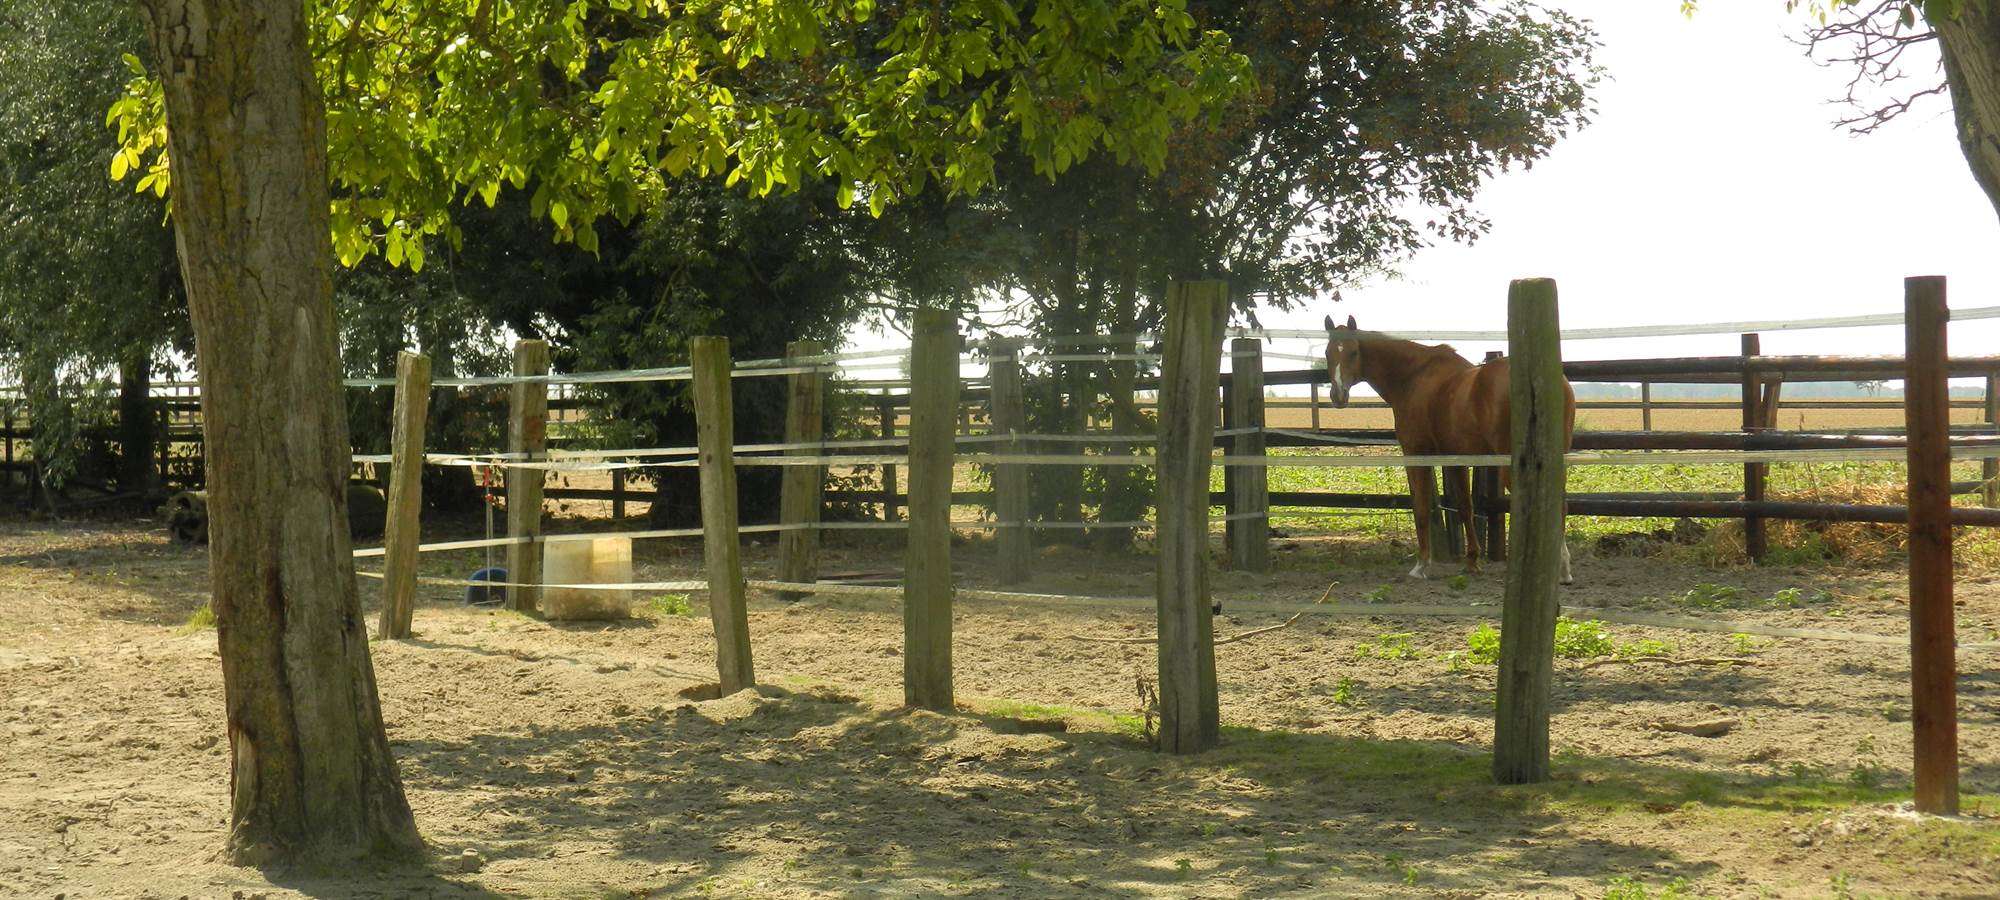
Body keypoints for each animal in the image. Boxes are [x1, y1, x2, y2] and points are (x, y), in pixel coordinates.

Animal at [1323, 315, 1578, 582]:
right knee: (1560, 504)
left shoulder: (1416, 454)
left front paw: (1421, 564)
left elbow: (1422, 508)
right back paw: (1562, 568)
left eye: (1353, 352)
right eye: (1328, 353)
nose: (1338, 395)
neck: (1414, 377)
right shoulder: (1456, 458)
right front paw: (1472, 561)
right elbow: (1465, 507)